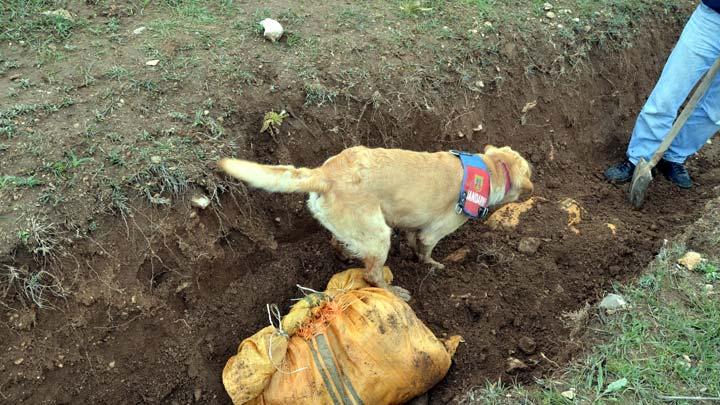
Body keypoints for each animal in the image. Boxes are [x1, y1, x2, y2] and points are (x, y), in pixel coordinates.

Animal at [217, 145, 532, 300]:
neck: (492, 167)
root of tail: (324, 174)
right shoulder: (435, 231)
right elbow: (426, 250)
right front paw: (433, 265)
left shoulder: (411, 223)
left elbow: (412, 238)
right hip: (380, 235)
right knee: (372, 274)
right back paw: (395, 292)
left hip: (358, 228)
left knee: (340, 243)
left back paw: (346, 254)